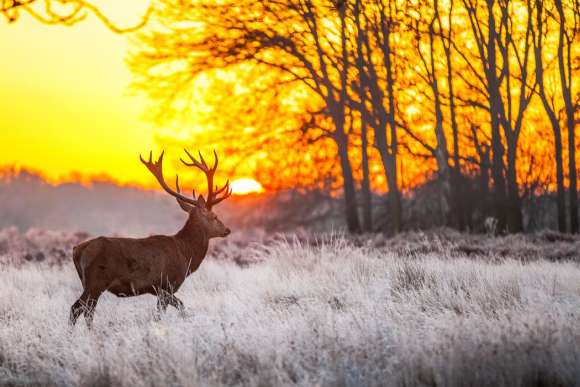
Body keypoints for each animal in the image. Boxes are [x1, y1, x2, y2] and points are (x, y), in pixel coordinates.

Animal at [68, 149, 231, 328]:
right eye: (215, 216)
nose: (227, 230)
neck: (185, 254)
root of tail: (77, 250)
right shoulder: (166, 285)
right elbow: (179, 307)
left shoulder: (159, 290)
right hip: (96, 281)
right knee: (79, 309)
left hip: (88, 282)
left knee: (85, 310)